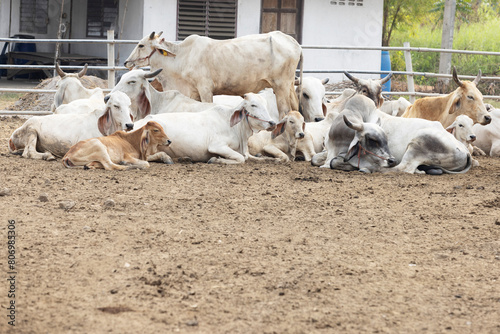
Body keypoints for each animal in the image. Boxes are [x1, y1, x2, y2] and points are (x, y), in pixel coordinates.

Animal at [133, 93, 276, 164]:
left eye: (265, 104)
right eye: (253, 105)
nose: (272, 123)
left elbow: (247, 157)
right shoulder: (217, 146)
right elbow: (241, 159)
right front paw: (215, 160)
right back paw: (166, 158)